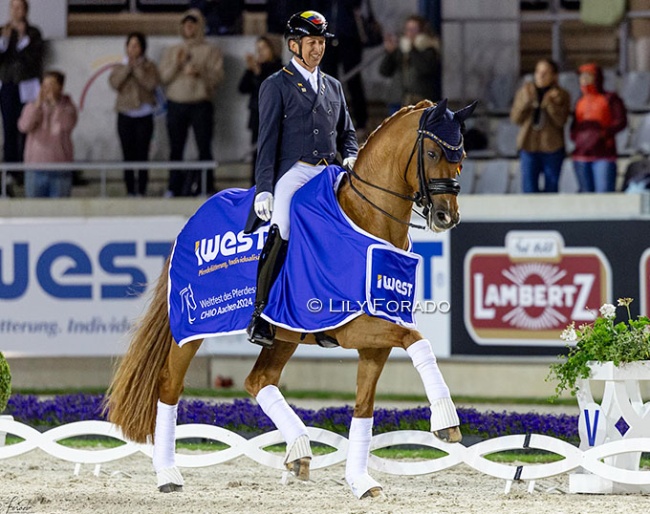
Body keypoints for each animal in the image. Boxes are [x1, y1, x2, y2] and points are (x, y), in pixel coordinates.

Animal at [104, 98, 474, 498]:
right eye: (433, 152)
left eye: (462, 156)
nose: (446, 216)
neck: (367, 220)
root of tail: (191, 221)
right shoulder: (353, 327)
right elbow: (418, 341)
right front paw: (446, 420)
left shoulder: (375, 338)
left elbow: (364, 407)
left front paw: (361, 482)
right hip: (192, 329)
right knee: (169, 386)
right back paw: (168, 475)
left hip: (283, 331)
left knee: (258, 380)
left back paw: (298, 450)